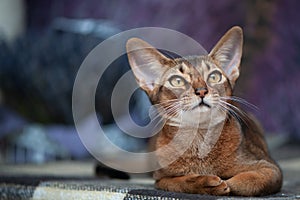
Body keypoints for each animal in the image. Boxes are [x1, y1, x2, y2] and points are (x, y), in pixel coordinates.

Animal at [125, 25, 282, 196]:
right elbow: (181, 182)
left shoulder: (271, 168)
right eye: (177, 81)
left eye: (214, 77)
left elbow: (248, 182)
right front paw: (206, 183)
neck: (199, 140)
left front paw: (227, 183)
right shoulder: (161, 179)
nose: (201, 91)